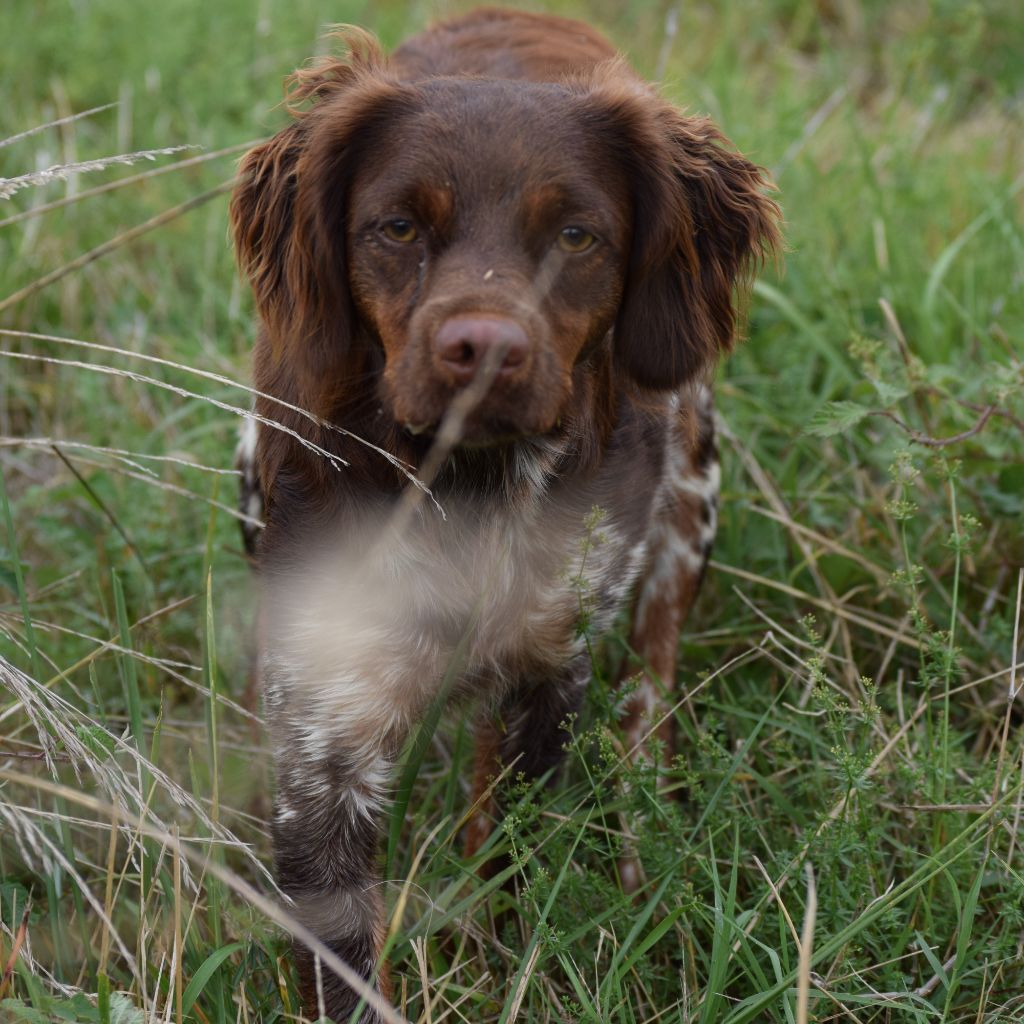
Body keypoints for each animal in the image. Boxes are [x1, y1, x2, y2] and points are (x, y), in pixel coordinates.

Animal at [230, 9, 774, 1024]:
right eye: (399, 225)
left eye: (578, 234)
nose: (483, 348)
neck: (465, 491)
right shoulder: (325, 732)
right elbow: (344, 954)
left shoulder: (546, 673)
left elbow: (510, 864)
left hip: (689, 501)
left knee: (647, 700)